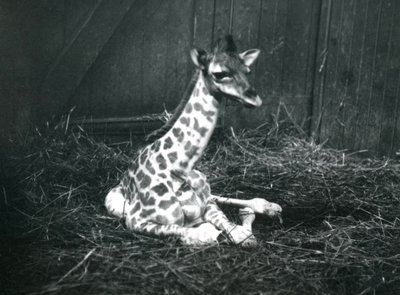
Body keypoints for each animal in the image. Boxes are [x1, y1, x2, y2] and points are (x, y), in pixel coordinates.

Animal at [104, 34, 282, 247]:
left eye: (247, 71)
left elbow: (230, 226)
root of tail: (120, 181)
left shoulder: (207, 206)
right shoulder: (136, 220)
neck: (177, 171)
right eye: (219, 73)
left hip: (203, 182)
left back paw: (269, 206)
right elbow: (203, 233)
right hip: (114, 205)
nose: (254, 98)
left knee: (218, 196)